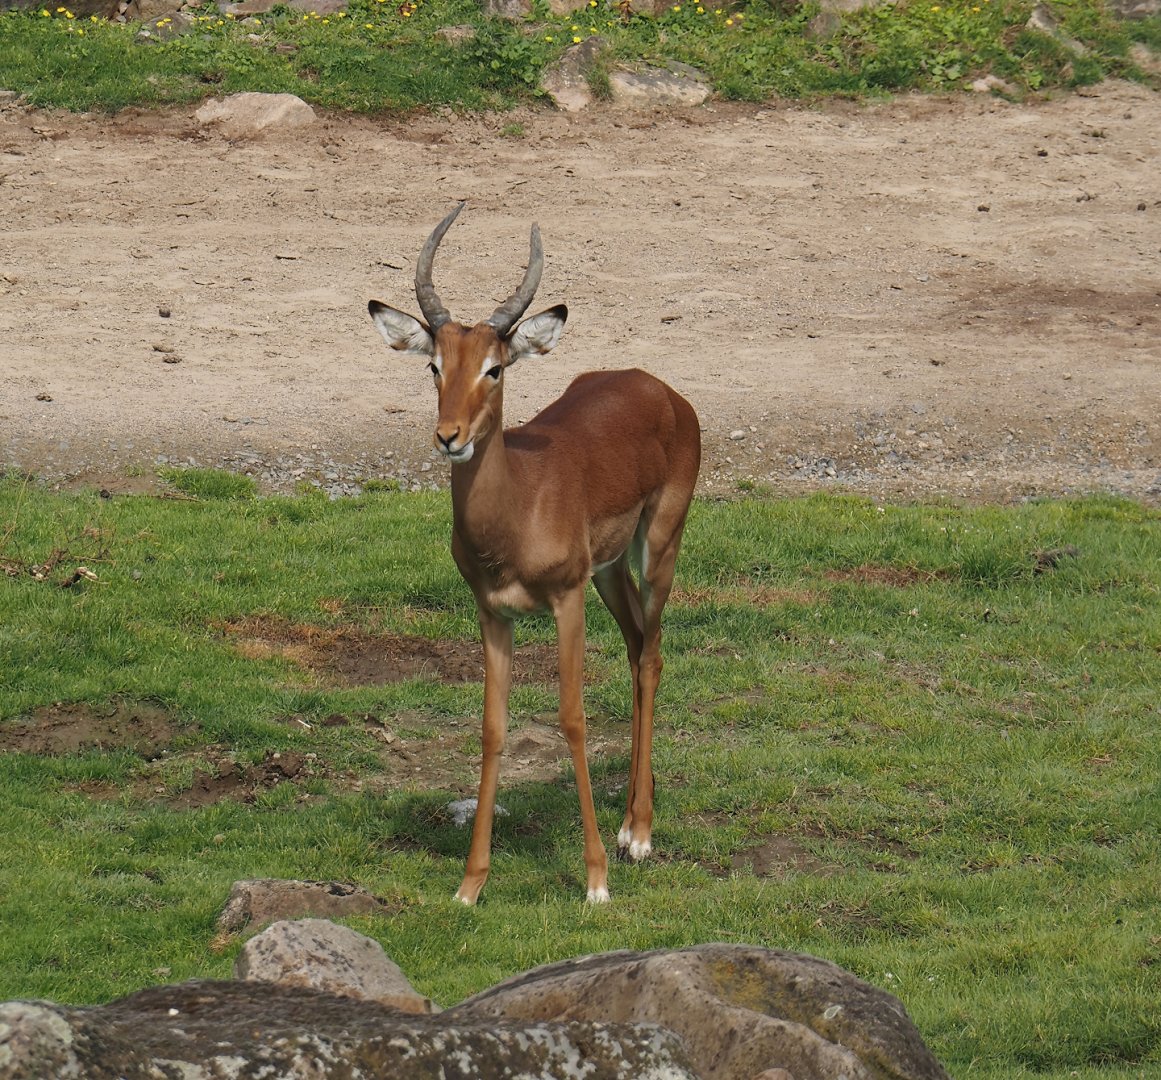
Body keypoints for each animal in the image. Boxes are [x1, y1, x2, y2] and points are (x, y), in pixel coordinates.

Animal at [368, 204, 701, 904]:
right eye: (435, 365)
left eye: (495, 367)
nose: (450, 437)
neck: (518, 506)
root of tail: (658, 388)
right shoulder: (494, 613)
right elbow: (493, 727)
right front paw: (470, 885)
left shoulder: (566, 601)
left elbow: (572, 717)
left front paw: (596, 881)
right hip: (611, 572)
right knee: (636, 644)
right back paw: (629, 825)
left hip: (659, 545)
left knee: (652, 654)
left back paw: (640, 836)